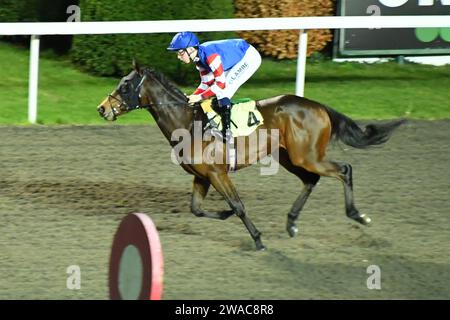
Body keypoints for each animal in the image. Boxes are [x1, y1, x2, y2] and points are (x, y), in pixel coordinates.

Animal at [96, 60, 406, 250]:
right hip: (290, 157)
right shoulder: (202, 176)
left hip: (308, 156)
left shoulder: (218, 173)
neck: (189, 122)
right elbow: (196, 209)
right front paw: (223, 214)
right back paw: (291, 223)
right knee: (311, 180)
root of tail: (318, 106)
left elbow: (239, 205)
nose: (101, 108)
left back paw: (357, 215)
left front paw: (258, 240)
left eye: (125, 85)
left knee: (344, 169)